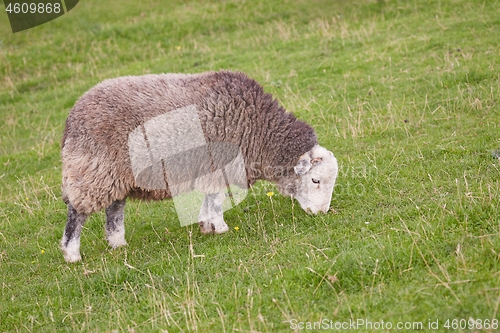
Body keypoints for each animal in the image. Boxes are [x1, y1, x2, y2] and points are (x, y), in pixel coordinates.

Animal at [60, 70, 338, 262]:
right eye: (315, 180)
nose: (321, 213)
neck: (260, 132)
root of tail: (72, 118)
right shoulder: (218, 164)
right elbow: (216, 199)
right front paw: (221, 228)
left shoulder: (210, 168)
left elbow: (208, 198)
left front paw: (206, 226)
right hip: (94, 170)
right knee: (77, 212)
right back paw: (72, 254)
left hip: (117, 174)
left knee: (115, 209)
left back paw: (118, 243)